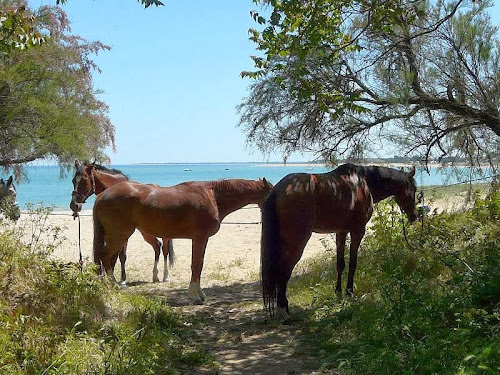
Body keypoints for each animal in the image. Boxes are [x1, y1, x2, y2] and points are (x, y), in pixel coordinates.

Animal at [94, 178, 274, 304]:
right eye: (272, 193)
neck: (213, 197)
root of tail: (102, 195)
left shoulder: (202, 239)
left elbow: (199, 265)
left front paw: (200, 293)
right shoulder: (199, 238)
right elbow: (196, 265)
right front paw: (195, 296)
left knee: (106, 258)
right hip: (120, 235)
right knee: (105, 256)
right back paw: (113, 285)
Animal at [260, 164, 416, 320]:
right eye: (413, 189)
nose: (413, 217)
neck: (364, 183)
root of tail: (278, 189)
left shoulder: (341, 232)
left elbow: (340, 264)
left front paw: (339, 293)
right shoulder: (358, 231)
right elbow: (353, 263)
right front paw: (349, 292)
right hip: (297, 241)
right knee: (284, 270)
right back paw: (283, 310)